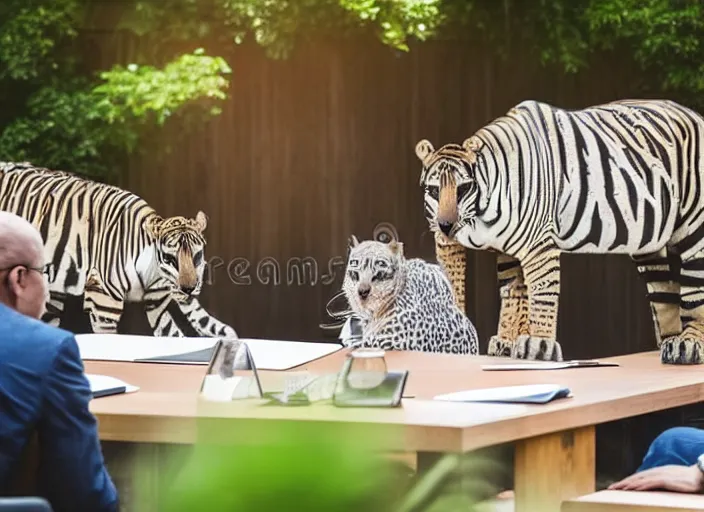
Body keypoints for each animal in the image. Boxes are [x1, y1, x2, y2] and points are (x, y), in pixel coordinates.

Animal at [0, 162, 236, 338]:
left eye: (197, 256)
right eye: (170, 259)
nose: (189, 289)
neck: (152, 271)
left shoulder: (157, 304)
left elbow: (173, 336)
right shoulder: (103, 303)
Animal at [412, 98, 704, 366]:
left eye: (463, 188)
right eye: (433, 191)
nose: (445, 225)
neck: (483, 217)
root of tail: (694, 114)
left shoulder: (539, 245)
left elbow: (541, 294)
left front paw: (538, 344)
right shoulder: (499, 251)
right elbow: (509, 295)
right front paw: (504, 340)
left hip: (695, 230)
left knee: (694, 291)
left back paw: (688, 346)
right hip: (649, 245)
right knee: (665, 296)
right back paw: (668, 343)